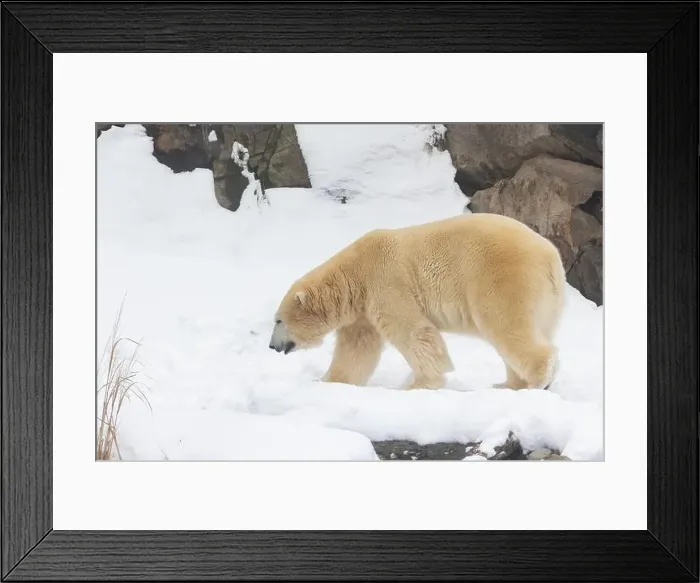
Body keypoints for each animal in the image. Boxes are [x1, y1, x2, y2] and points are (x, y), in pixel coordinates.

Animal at [269, 212, 566, 391]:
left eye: (278, 320)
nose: (272, 346)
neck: (354, 273)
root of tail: (550, 256)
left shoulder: (385, 283)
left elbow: (413, 333)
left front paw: (418, 385)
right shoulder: (361, 311)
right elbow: (357, 348)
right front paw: (327, 381)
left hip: (501, 279)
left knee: (507, 326)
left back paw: (536, 382)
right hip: (545, 299)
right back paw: (509, 385)